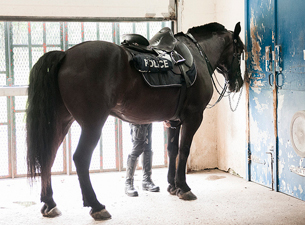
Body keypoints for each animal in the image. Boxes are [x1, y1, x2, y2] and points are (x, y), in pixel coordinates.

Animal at [26, 22, 245, 220]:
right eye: (241, 51)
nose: (238, 83)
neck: (196, 55)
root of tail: (66, 55)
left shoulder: (173, 120)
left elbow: (172, 150)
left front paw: (172, 186)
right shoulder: (193, 117)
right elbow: (184, 151)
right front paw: (183, 187)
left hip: (61, 121)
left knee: (48, 156)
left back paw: (49, 203)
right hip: (92, 124)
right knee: (80, 158)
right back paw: (96, 205)